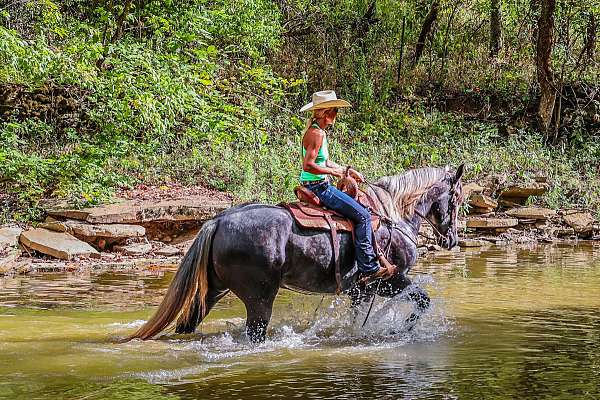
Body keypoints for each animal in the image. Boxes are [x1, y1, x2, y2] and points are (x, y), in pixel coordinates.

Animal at [125, 164, 464, 342]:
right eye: (457, 199)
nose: (452, 240)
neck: (391, 215)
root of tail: (218, 220)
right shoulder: (389, 280)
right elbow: (422, 301)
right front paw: (399, 330)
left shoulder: (361, 291)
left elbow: (358, 318)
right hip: (259, 298)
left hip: (213, 292)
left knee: (189, 322)